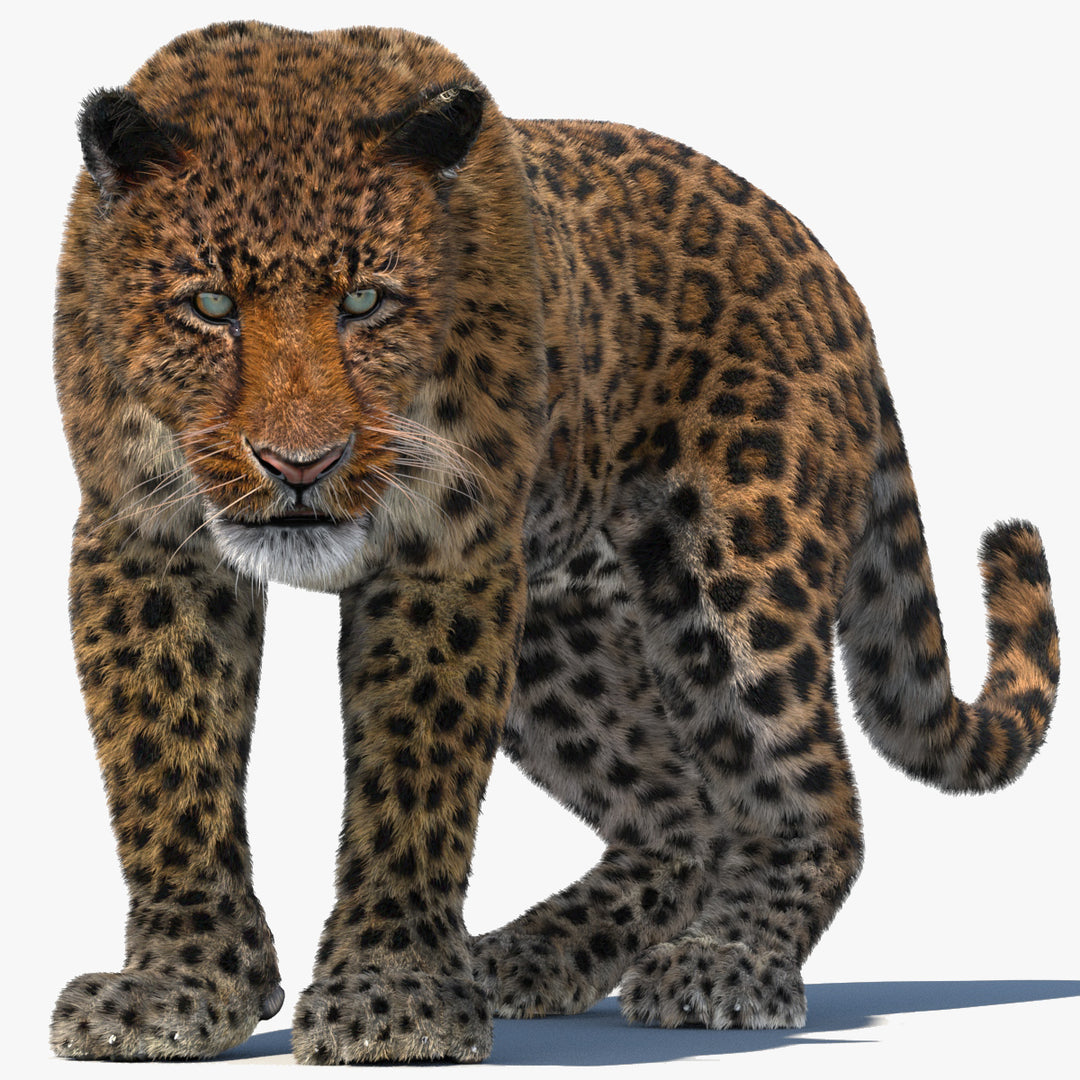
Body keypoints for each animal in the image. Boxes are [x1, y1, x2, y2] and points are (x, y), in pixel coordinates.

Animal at [49, 20, 1059, 1066]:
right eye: (211, 307)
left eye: (366, 302)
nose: (300, 463)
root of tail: (831, 276)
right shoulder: (144, 538)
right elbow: (166, 759)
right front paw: (182, 986)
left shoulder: (449, 553)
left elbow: (415, 776)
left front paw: (393, 1000)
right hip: (553, 636)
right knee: (681, 813)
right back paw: (523, 956)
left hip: (740, 576)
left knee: (808, 796)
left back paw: (724, 962)